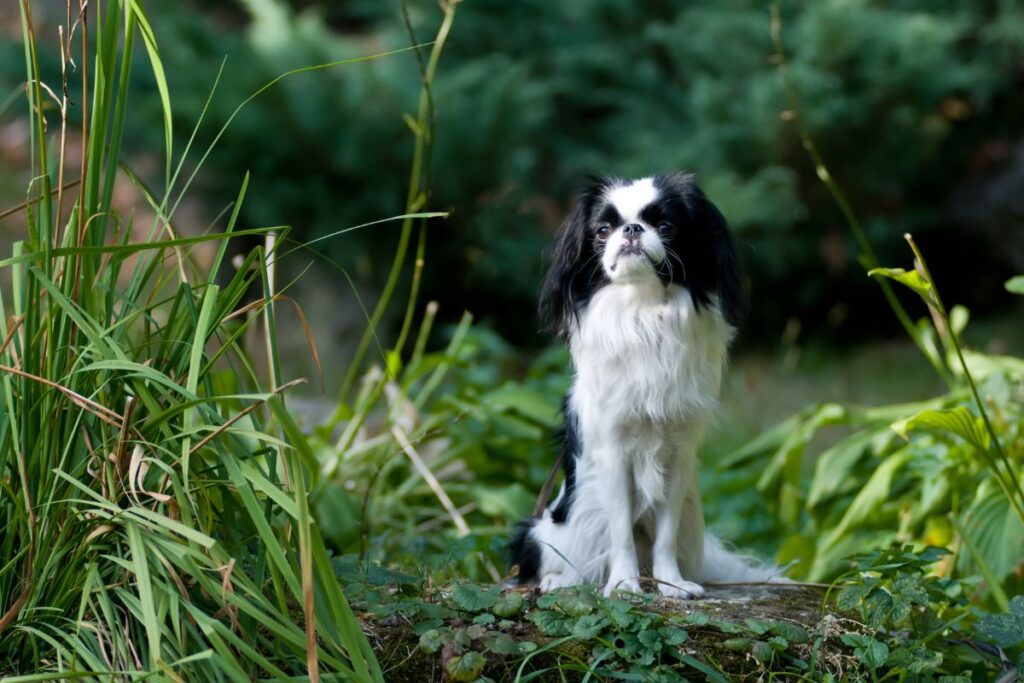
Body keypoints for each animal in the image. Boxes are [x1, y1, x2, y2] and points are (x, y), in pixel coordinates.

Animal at [507, 175, 778, 598]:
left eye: (666, 227)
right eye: (603, 231)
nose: (632, 230)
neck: (644, 309)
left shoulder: (678, 455)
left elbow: (665, 533)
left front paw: (671, 584)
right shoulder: (613, 453)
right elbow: (620, 531)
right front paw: (624, 584)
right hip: (552, 526)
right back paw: (558, 581)